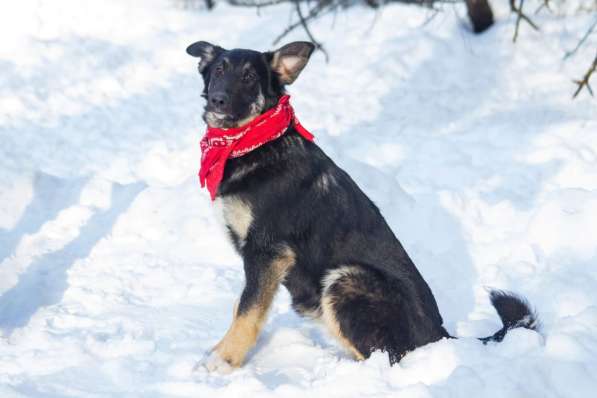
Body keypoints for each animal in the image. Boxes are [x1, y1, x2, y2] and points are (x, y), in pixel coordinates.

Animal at [184, 40, 536, 374]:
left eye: (249, 77)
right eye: (218, 71)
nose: (217, 100)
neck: (251, 141)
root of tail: (439, 336)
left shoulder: (268, 251)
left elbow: (248, 311)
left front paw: (222, 360)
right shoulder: (258, 258)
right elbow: (241, 305)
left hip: (345, 279)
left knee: (385, 355)